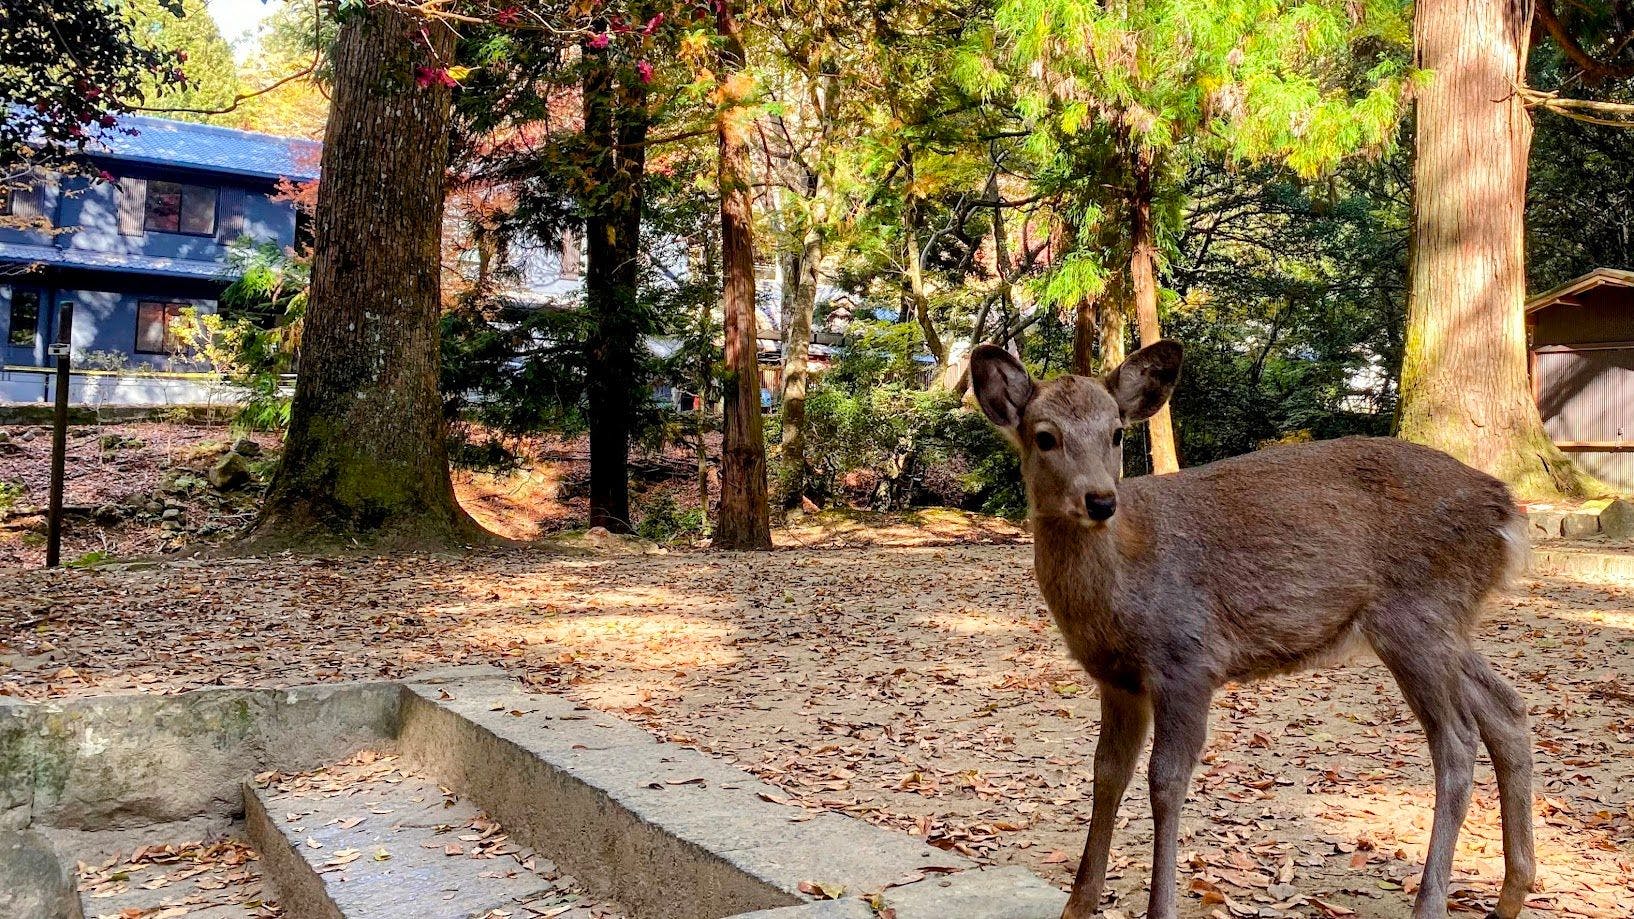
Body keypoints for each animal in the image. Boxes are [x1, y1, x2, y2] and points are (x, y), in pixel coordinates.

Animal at [969, 341, 1535, 919]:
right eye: (1045, 436)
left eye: (1117, 433)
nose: (1102, 500)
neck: (1119, 590)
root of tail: (1507, 513)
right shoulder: (1118, 680)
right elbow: (1107, 773)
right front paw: (1077, 905)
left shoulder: (1188, 658)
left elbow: (1165, 782)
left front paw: (1160, 907)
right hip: (1446, 623)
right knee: (1506, 708)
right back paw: (1511, 895)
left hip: (1418, 617)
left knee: (1458, 741)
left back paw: (1433, 901)